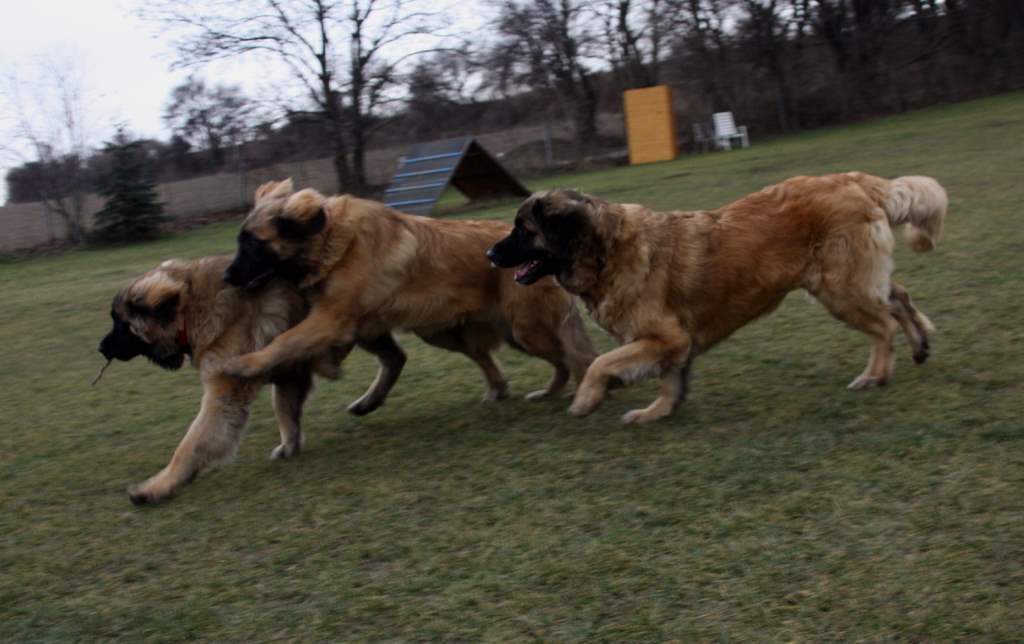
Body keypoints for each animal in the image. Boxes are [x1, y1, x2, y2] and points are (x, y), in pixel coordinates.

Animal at [97, 254, 350, 501]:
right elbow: (285, 411)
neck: (191, 310)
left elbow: (189, 446)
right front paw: (289, 446)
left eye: (120, 324)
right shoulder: (289, 373)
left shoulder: (224, 396)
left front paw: (158, 486)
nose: (100, 348)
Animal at [220, 179, 598, 401]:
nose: (226, 276)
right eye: (240, 241)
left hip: (525, 330)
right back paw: (509, 391)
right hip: (450, 332)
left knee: (571, 358)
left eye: (252, 244)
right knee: (506, 359)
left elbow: (283, 342)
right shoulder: (355, 322)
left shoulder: (330, 319)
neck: (330, 239)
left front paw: (243, 365)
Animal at [483, 172, 946, 421]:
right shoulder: (670, 341)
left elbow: (601, 362)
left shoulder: (663, 336)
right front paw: (657, 412)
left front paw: (585, 400)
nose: (490, 254)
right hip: (852, 282)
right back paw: (920, 346)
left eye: (524, 230)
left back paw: (875, 375)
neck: (605, 250)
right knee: (899, 298)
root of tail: (855, 181)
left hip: (838, 289)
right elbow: (669, 379)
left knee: (883, 324)